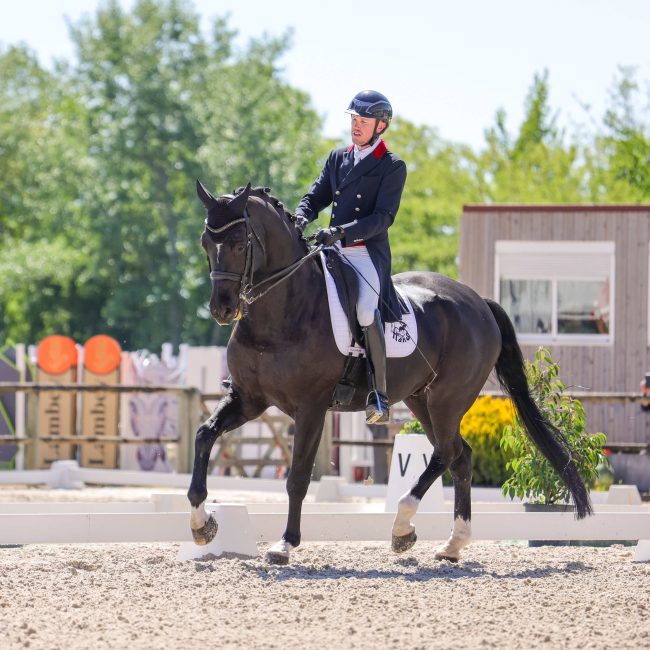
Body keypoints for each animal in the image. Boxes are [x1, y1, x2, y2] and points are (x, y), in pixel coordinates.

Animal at [187, 181, 592, 564]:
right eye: (206, 241)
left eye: (239, 243)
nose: (221, 309)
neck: (280, 314)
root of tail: (479, 302)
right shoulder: (248, 399)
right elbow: (204, 435)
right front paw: (203, 525)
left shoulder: (311, 408)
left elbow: (298, 477)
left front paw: (285, 544)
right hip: (419, 399)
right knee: (459, 456)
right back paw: (449, 544)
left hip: (447, 400)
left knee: (447, 452)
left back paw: (406, 526)